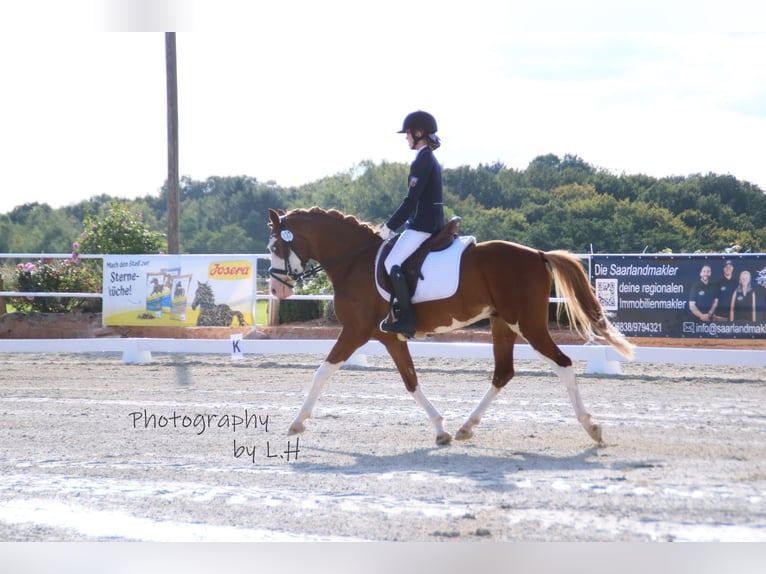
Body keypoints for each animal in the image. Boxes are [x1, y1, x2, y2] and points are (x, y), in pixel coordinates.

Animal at [270, 209, 636, 448]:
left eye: (274, 247)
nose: (276, 290)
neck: (354, 263)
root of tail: (537, 254)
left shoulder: (355, 331)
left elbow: (322, 371)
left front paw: (296, 423)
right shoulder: (388, 337)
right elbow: (411, 381)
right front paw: (440, 430)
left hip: (528, 324)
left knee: (563, 363)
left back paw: (592, 428)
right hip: (503, 324)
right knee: (503, 373)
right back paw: (466, 427)